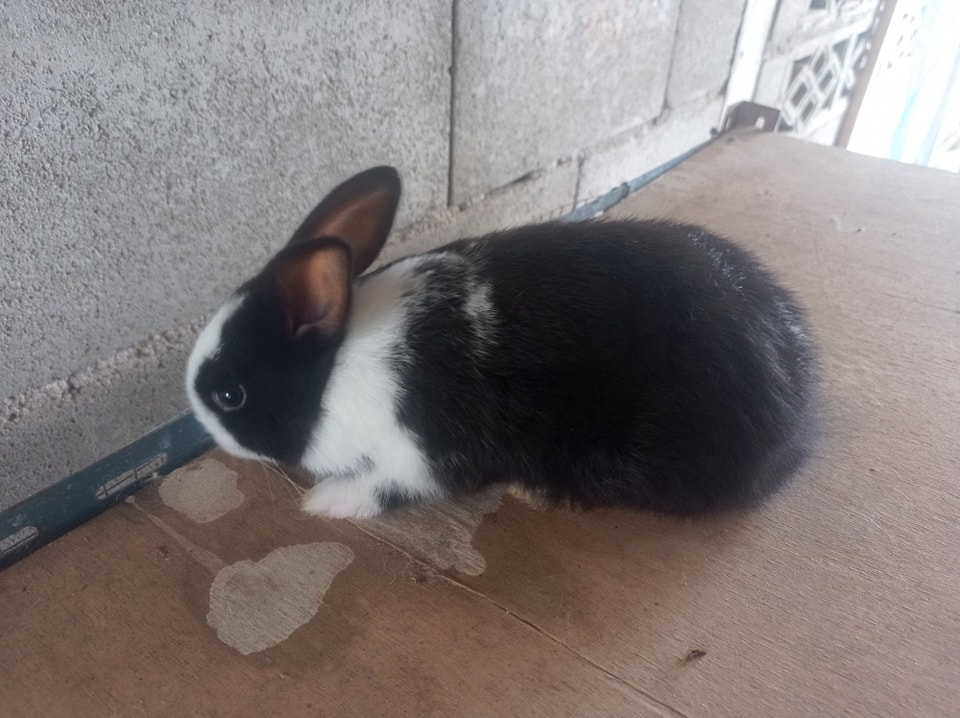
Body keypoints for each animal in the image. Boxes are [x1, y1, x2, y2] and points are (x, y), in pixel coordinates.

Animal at [186, 166, 818, 520]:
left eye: (230, 397)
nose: (203, 425)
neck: (332, 374)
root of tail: (801, 407)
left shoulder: (418, 452)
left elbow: (392, 486)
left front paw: (326, 504)